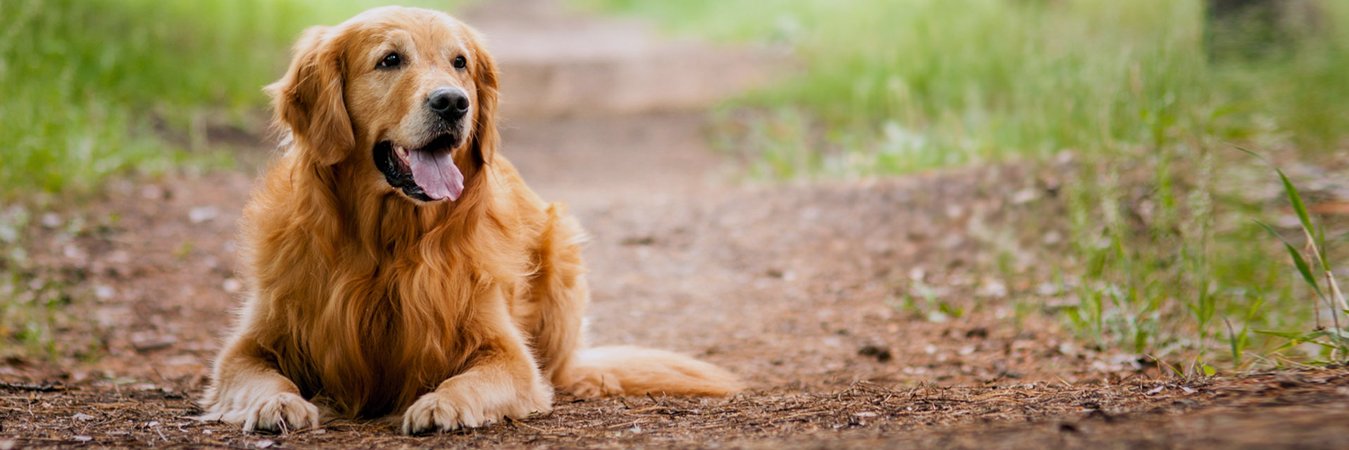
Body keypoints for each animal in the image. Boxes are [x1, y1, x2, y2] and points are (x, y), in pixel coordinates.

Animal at [199, 6, 744, 436]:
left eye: (459, 62)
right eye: (390, 59)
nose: (452, 102)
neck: (388, 243)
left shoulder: (508, 353)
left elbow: (473, 378)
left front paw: (442, 404)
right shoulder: (246, 346)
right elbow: (261, 377)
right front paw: (279, 402)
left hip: (562, 245)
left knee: (565, 370)